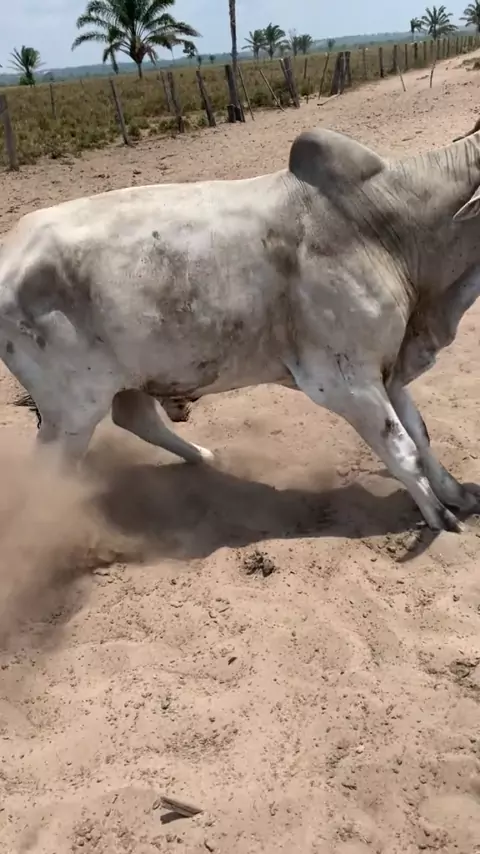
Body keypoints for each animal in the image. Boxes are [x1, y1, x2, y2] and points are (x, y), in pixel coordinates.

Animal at [2, 126, 480, 534]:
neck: (384, 223)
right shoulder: (346, 381)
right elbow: (403, 451)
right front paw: (439, 518)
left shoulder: (390, 367)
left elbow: (421, 435)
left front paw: (457, 495)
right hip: (73, 409)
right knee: (50, 475)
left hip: (123, 382)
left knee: (135, 419)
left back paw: (202, 457)